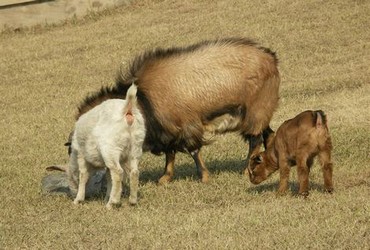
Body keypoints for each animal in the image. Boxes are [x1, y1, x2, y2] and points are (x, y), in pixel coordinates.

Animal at [69, 38, 278, 185]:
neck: (142, 98)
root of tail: (270, 58)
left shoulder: (186, 125)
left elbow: (193, 151)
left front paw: (204, 177)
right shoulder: (168, 129)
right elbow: (170, 154)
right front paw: (165, 178)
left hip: (255, 111)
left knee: (255, 139)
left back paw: (246, 169)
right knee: (268, 134)